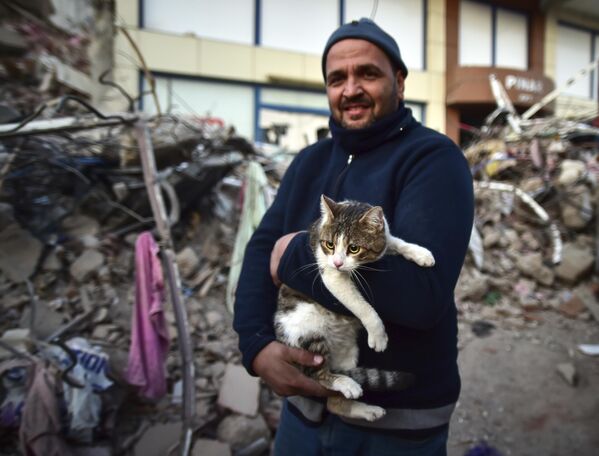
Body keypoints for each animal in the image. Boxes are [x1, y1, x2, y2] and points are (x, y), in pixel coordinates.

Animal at [274, 194, 434, 422]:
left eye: (354, 248)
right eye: (330, 245)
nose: (338, 262)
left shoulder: (384, 238)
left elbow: (396, 242)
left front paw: (420, 253)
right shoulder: (332, 276)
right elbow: (361, 305)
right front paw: (378, 335)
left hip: (348, 353)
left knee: (333, 403)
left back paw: (365, 408)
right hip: (307, 329)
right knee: (316, 375)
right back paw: (345, 383)